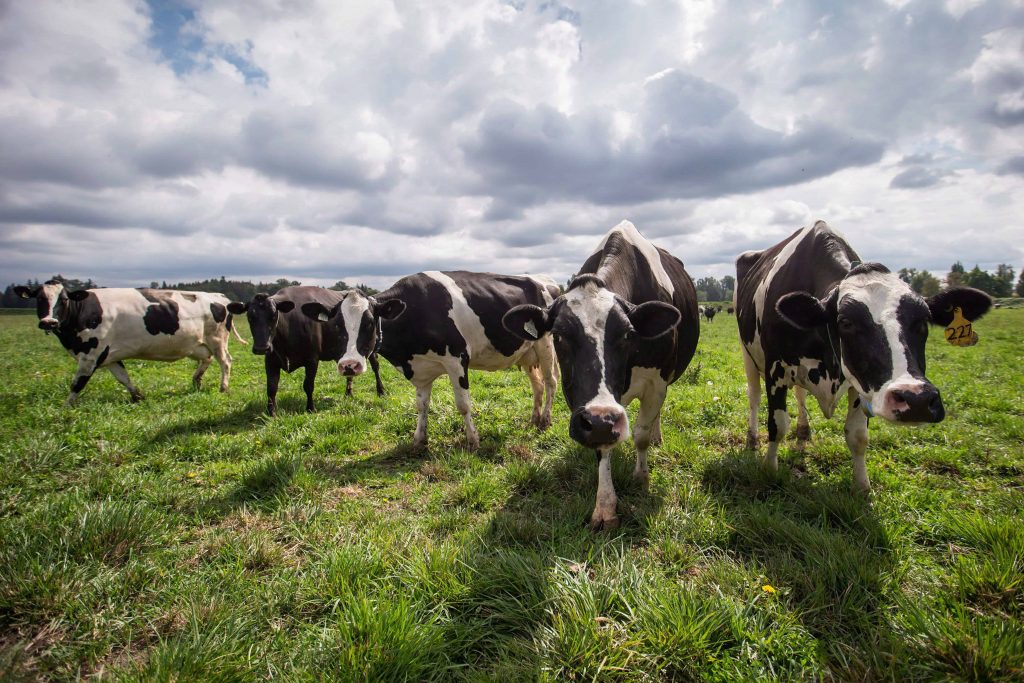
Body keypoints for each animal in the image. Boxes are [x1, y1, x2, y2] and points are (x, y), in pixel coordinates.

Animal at [17, 278, 248, 403]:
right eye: (39, 299)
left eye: (64, 300)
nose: (48, 322)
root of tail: (219, 297)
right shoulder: (109, 356)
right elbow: (123, 378)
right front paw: (137, 397)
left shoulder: (91, 353)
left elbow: (77, 384)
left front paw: (66, 408)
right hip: (197, 344)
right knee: (206, 359)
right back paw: (196, 380)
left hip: (217, 339)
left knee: (225, 361)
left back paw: (223, 387)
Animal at [227, 286, 385, 417]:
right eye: (250, 316)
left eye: (273, 315)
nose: (261, 347)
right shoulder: (270, 360)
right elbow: (271, 387)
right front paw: (271, 413)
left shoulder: (312, 359)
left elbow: (308, 385)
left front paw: (310, 408)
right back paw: (348, 393)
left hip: (371, 348)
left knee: (375, 366)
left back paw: (381, 391)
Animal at [299, 270, 561, 450]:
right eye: (336, 325)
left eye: (370, 323)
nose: (349, 366)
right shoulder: (421, 369)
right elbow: (421, 405)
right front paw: (419, 439)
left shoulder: (457, 359)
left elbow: (463, 405)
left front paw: (473, 440)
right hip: (527, 353)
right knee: (537, 385)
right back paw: (534, 418)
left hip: (546, 346)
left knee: (550, 382)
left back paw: (546, 420)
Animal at [501, 222, 700, 532]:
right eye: (558, 335)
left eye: (628, 334)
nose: (601, 420)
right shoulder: (588, 411)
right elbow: (602, 449)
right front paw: (605, 508)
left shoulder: (657, 383)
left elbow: (641, 434)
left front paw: (641, 476)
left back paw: (657, 436)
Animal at [737, 223, 991, 491]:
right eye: (846, 322)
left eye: (923, 322)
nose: (917, 400)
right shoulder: (776, 370)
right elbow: (778, 424)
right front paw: (769, 470)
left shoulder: (860, 383)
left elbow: (857, 435)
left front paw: (862, 487)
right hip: (748, 355)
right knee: (754, 396)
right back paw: (752, 438)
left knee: (800, 394)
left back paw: (804, 431)